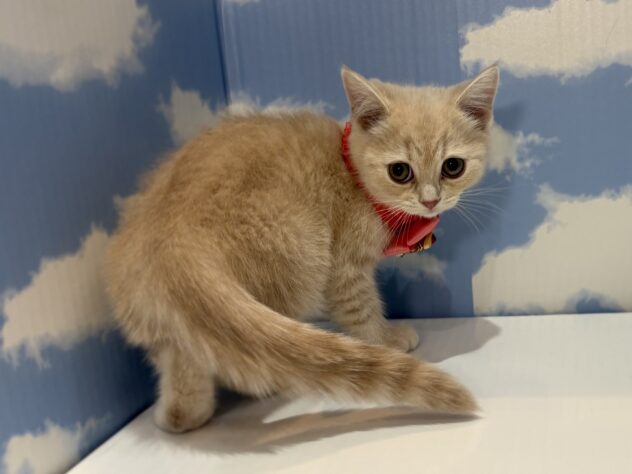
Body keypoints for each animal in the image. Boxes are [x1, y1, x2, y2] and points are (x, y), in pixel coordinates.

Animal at [104, 65, 499, 433]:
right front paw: (384, 338)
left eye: (453, 166)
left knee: (183, 354)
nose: (431, 201)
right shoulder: (344, 268)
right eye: (399, 171)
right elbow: (360, 309)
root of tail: (173, 236)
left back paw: (180, 414)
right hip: (298, 257)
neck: (351, 172)